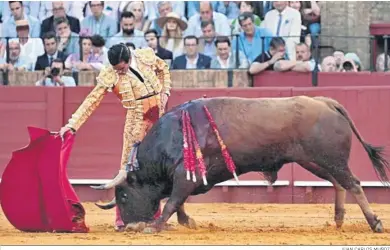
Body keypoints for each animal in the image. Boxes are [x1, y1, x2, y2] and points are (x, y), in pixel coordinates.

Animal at [92, 96, 390, 234]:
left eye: (124, 195)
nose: (128, 226)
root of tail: (326, 101)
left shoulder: (184, 176)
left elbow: (173, 201)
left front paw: (155, 226)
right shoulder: (187, 177)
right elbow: (179, 202)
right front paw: (187, 222)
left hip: (328, 159)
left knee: (354, 184)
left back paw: (374, 223)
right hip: (315, 161)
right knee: (340, 183)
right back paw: (338, 219)